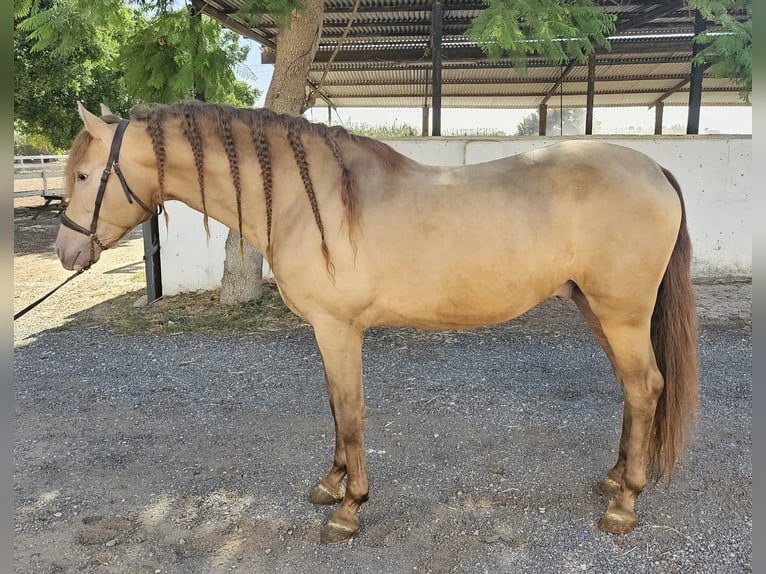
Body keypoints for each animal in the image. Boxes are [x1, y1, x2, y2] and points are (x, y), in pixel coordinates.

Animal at [55, 101, 698, 544]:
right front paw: (331, 484)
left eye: (84, 176)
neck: (309, 200)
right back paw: (614, 479)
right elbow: (334, 408)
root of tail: (655, 170)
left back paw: (624, 504)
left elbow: (350, 410)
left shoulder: (339, 328)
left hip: (621, 312)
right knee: (633, 390)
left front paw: (348, 508)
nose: (66, 253)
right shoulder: (326, 331)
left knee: (646, 387)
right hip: (598, 309)